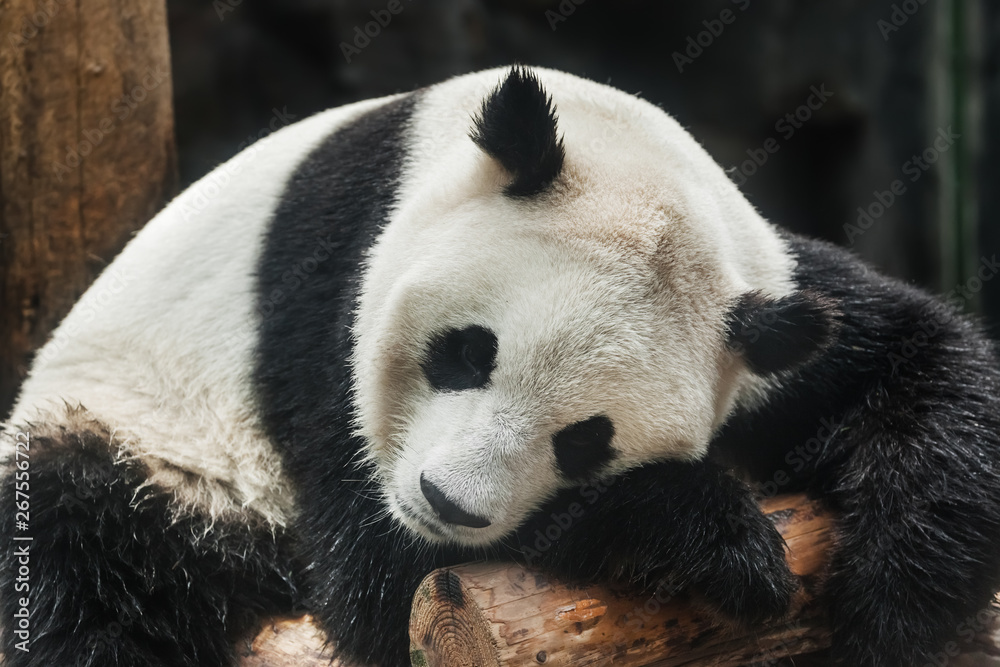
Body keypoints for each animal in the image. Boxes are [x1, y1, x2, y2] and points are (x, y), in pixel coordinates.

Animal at [2, 65, 1000, 667]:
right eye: (465, 351)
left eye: (586, 441)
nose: (447, 501)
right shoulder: (329, 299)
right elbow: (383, 578)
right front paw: (706, 530)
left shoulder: (763, 295)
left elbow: (929, 366)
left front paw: (896, 599)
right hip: (146, 439)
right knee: (81, 569)